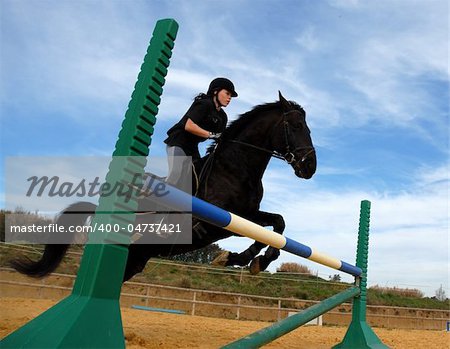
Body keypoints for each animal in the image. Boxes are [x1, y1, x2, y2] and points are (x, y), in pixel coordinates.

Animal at [9, 92, 316, 280]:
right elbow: (269, 231)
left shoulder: (245, 217)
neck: (236, 168)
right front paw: (237, 258)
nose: (310, 167)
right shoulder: (219, 223)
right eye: (296, 126)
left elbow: (277, 225)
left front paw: (251, 260)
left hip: (136, 260)